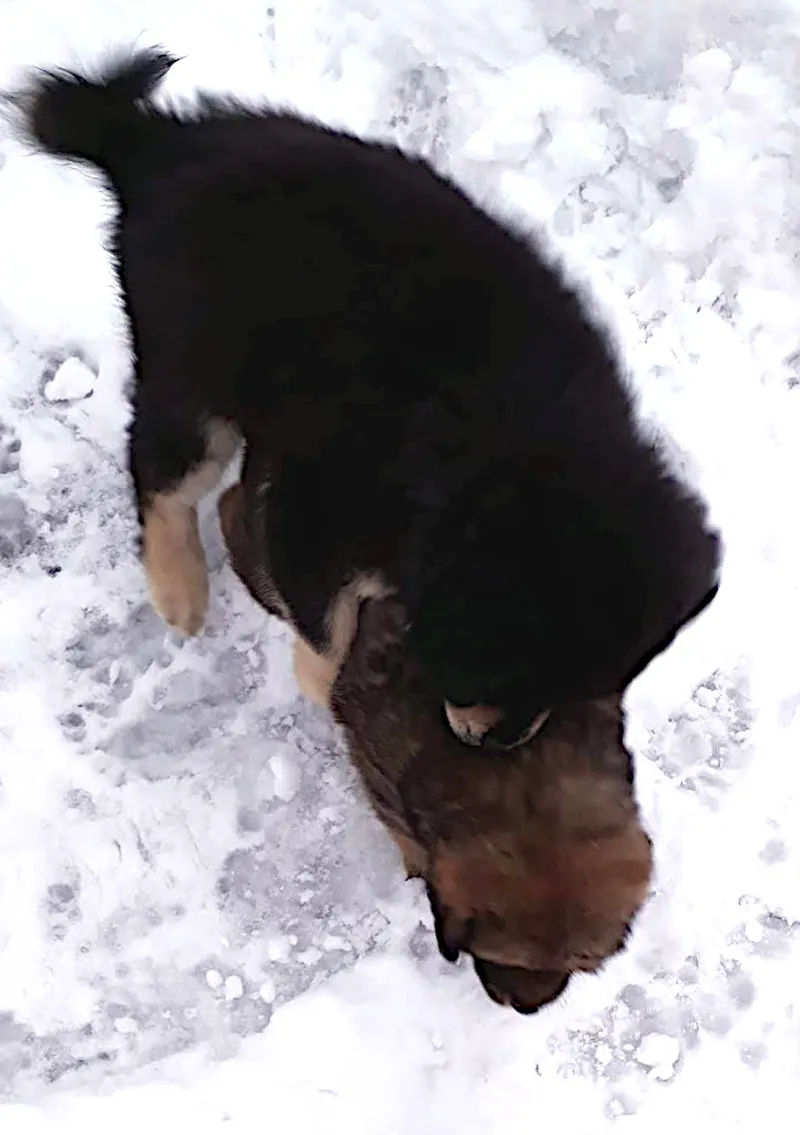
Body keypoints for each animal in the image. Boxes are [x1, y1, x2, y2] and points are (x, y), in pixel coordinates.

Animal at [20, 48, 721, 749]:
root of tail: (154, 143)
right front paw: (332, 691)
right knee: (162, 471)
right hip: (194, 372)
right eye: (497, 670)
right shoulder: (318, 509)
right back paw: (181, 591)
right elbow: (324, 625)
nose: (499, 742)